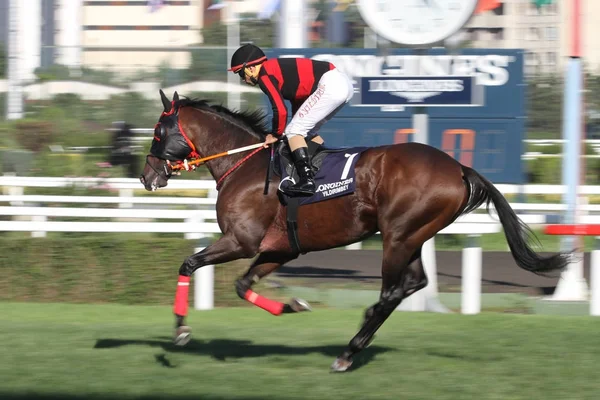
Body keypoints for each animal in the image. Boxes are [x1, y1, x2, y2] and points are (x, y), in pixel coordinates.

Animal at [138, 90, 568, 372]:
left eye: (158, 131)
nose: (147, 176)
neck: (245, 164)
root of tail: (459, 167)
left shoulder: (242, 241)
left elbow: (188, 264)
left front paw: (181, 332)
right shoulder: (280, 249)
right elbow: (243, 286)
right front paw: (293, 305)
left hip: (398, 236)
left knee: (392, 290)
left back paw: (350, 348)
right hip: (412, 235)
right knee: (414, 282)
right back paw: (359, 337)